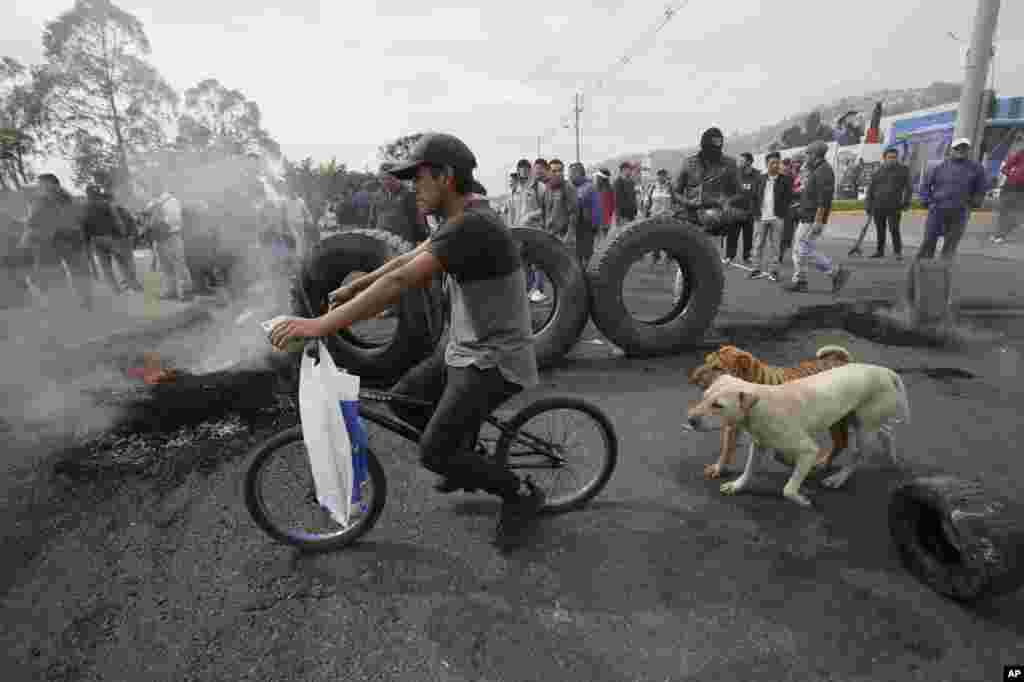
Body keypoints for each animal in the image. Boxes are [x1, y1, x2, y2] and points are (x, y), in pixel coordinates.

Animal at [688, 360, 913, 503]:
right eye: (704, 397)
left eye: (718, 405)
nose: (690, 420)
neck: (759, 407)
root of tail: (884, 370)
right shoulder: (759, 445)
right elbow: (749, 469)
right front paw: (737, 486)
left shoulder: (809, 451)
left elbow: (787, 489)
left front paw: (800, 497)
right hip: (856, 418)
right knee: (886, 431)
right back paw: (893, 458)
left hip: (862, 426)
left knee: (859, 452)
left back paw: (838, 479)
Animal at [692, 342, 851, 475]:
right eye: (706, 360)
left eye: (717, 368)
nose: (693, 378)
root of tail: (842, 361)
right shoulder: (732, 427)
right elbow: (727, 448)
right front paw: (718, 468)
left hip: (838, 421)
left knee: (841, 442)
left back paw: (823, 463)